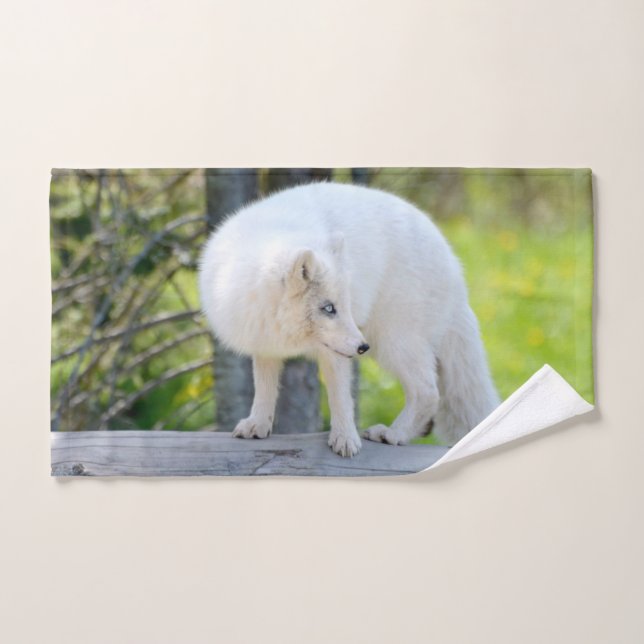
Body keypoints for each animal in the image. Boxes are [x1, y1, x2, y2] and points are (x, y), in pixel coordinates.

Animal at [198, 181, 499, 457]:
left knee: (428, 391)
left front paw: (344, 439)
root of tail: (454, 267)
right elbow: (264, 389)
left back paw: (393, 434)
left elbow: (341, 398)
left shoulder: (335, 352)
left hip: (393, 342)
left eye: (346, 305)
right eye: (329, 308)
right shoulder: (264, 342)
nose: (362, 348)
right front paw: (258, 425)